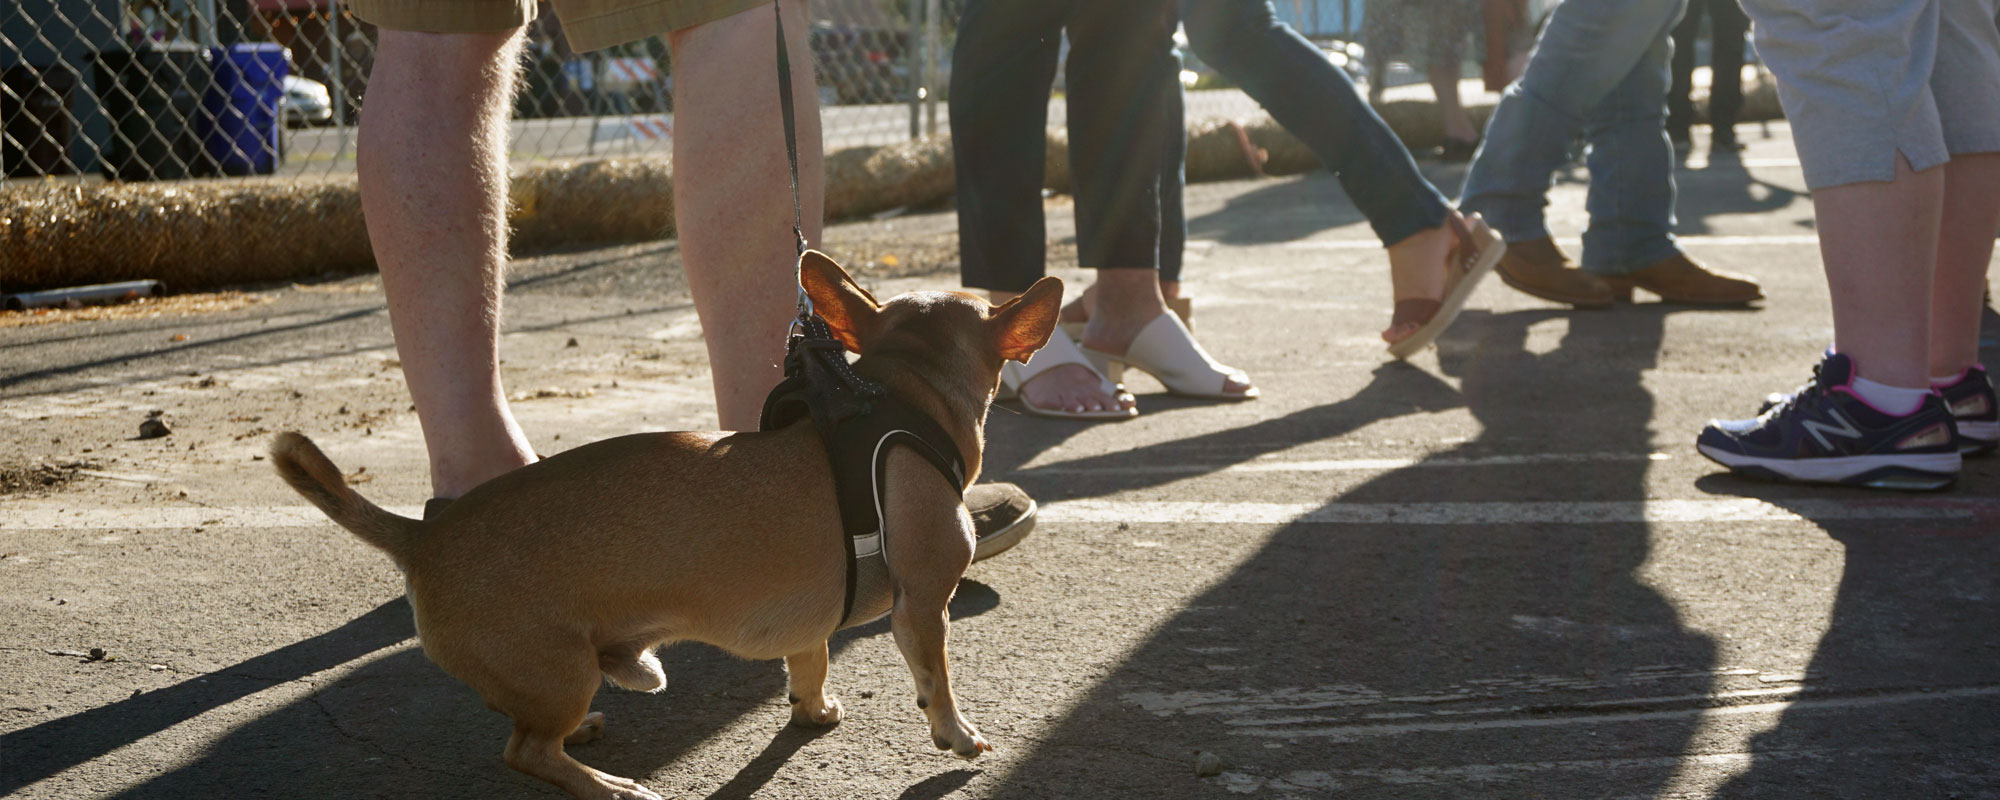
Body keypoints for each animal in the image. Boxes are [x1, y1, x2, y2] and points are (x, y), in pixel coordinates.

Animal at [274, 255, 1072, 800]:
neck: (898, 397)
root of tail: (423, 536)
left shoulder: (812, 619)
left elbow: (808, 663)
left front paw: (811, 710)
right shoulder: (923, 607)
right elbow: (936, 679)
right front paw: (957, 737)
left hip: (558, 675)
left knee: (525, 730)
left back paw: (583, 740)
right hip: (560, 672)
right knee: (524, 753)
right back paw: (610, 788)